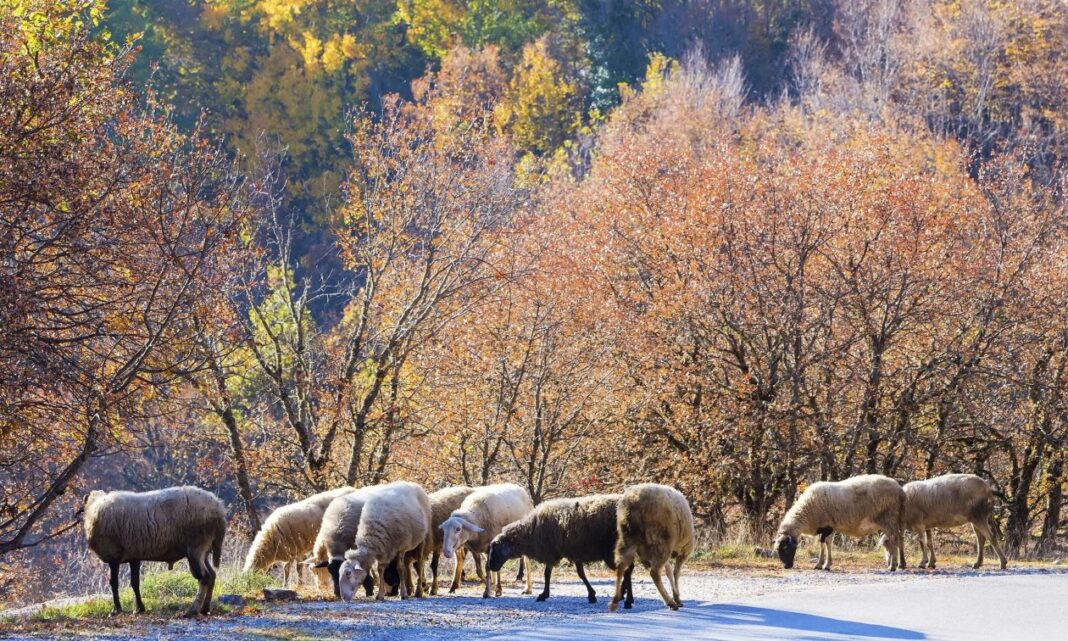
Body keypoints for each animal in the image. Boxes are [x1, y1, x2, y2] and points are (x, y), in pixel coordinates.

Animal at [81, 489, 227, 619]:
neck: (94, 506)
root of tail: (219, 508)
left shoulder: (113, 556)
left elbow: (114, 583)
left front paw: (117, 610)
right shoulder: (134, 557)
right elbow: (135, 583)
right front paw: (139, 608)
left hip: (196, 547)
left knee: (204, 577)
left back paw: (192, 610)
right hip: (204, 550)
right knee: (212, 575)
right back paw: (205, 609)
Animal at [487, 493, 632, 606]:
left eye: (497, 547)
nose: (490, 566)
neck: (531, 531)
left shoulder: (553, 552)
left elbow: (549, 574)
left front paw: (543, 595)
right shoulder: (569, 552)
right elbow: (575, 574)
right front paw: (591, 594)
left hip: (611, 551)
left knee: (626, 570)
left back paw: (627, 599)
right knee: (627, 569)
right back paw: (624, 595)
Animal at [610, 482, 692, 615]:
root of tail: (633, 501)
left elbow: (669, 572)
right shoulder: (684, 550)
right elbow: (675, 573)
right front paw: (677, 597)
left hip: (629, 538)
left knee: (621, 566)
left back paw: (614, 601)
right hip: (661, 541)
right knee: (654, 573)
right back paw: (671, 603)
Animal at [773, 472, 905, 572]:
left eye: (785, 548)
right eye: (778, 549)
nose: (786, 566)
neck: (806, 512)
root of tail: (899, 489)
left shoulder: (827, 526)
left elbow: (826, 543)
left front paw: (824, 565)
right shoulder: (825, 527)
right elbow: (824, 544)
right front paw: (822, 564)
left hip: (888, 518)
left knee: (894, 539)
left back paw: (892, 566)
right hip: (892, 520)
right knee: (897, 539)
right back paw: (899, 564)